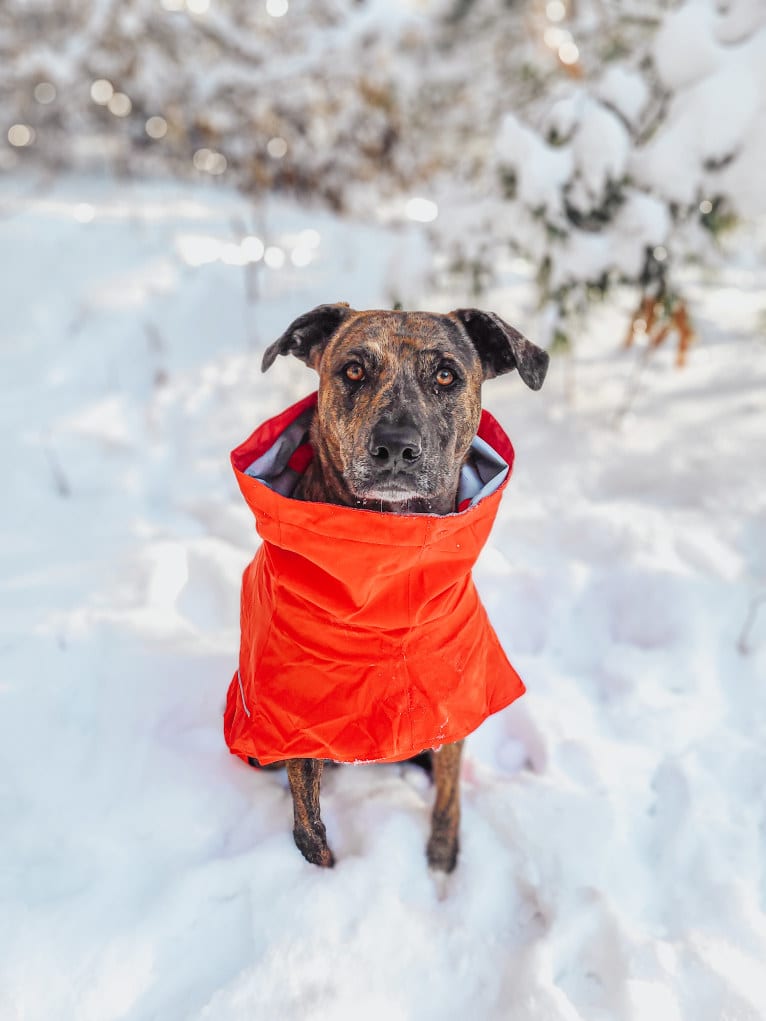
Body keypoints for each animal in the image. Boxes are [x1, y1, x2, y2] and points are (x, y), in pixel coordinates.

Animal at [253, 302, 551, 869]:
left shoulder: (453, 698)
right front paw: (323, 876)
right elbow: (310, 823)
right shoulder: (299, 707)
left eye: (446, 375)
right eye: (352, 370)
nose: (394, 447)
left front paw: (441, 860)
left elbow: (449, 791)